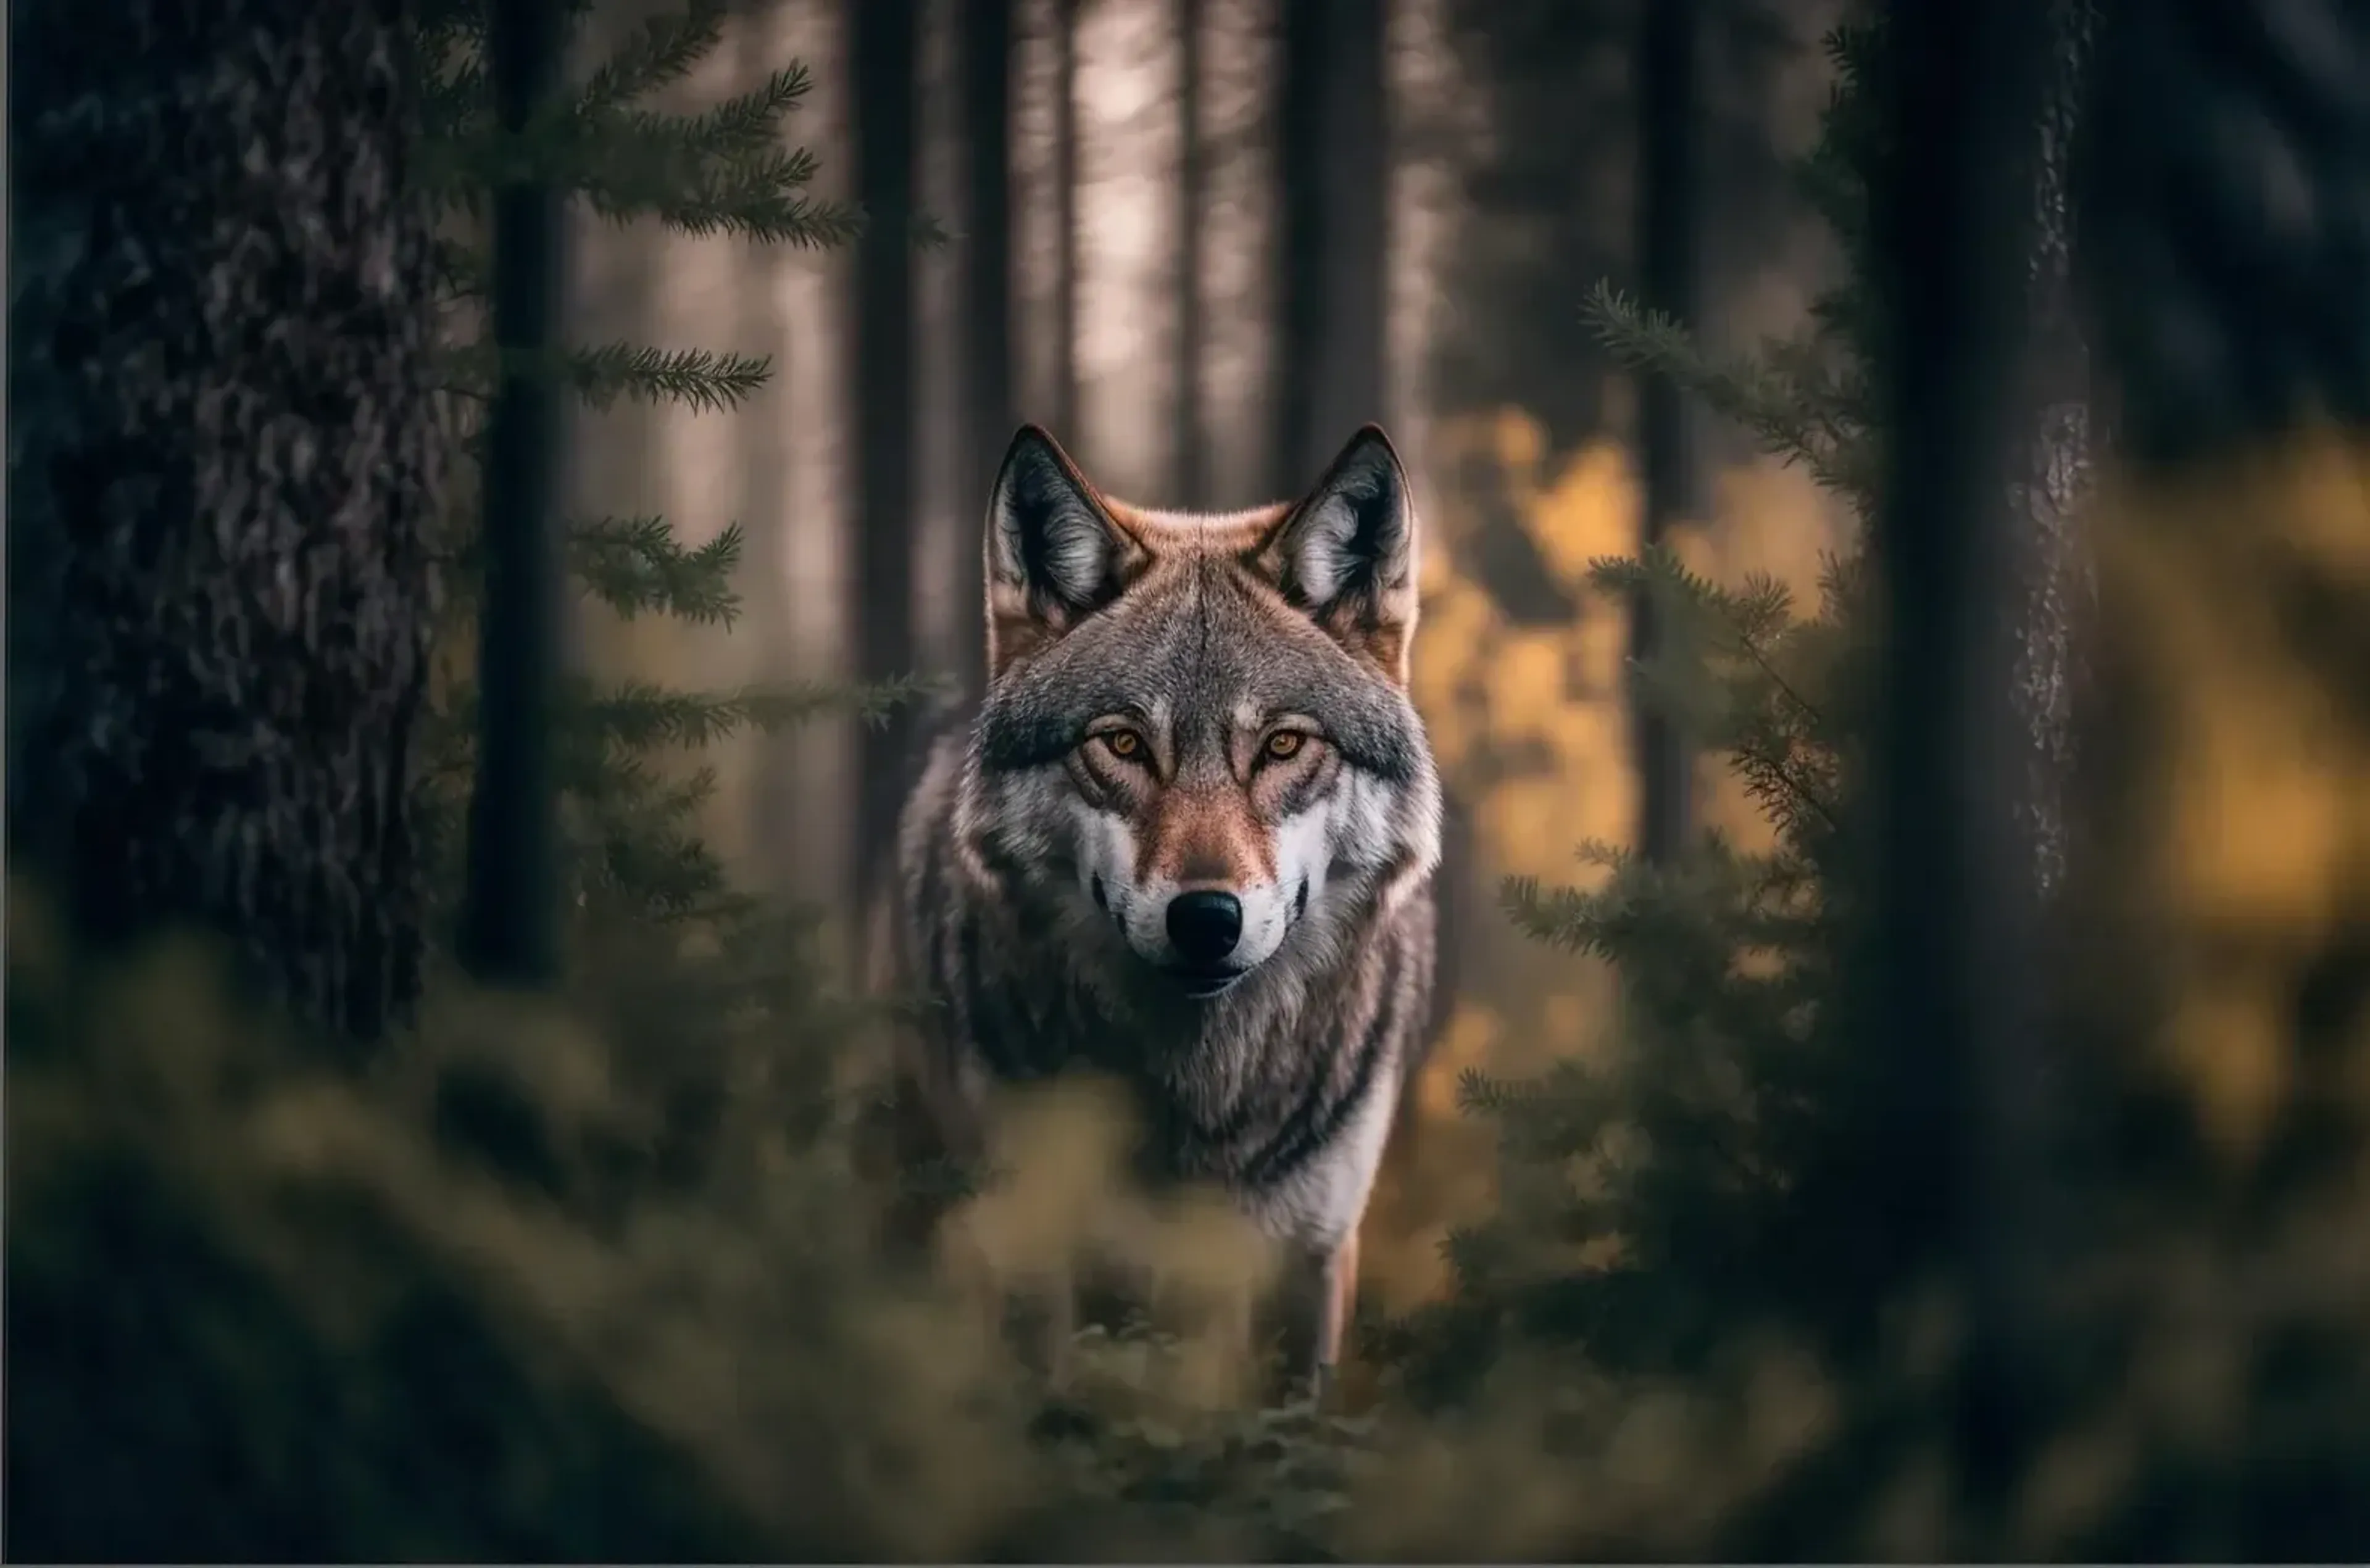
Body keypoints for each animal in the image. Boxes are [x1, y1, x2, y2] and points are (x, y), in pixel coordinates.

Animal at [867, 422, 1445, 1397]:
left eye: (1282, 745)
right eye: (1125, 744)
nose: (1205, 918)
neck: (1199, 1095)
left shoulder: (1314, 1260)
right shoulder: (1041, 1262)